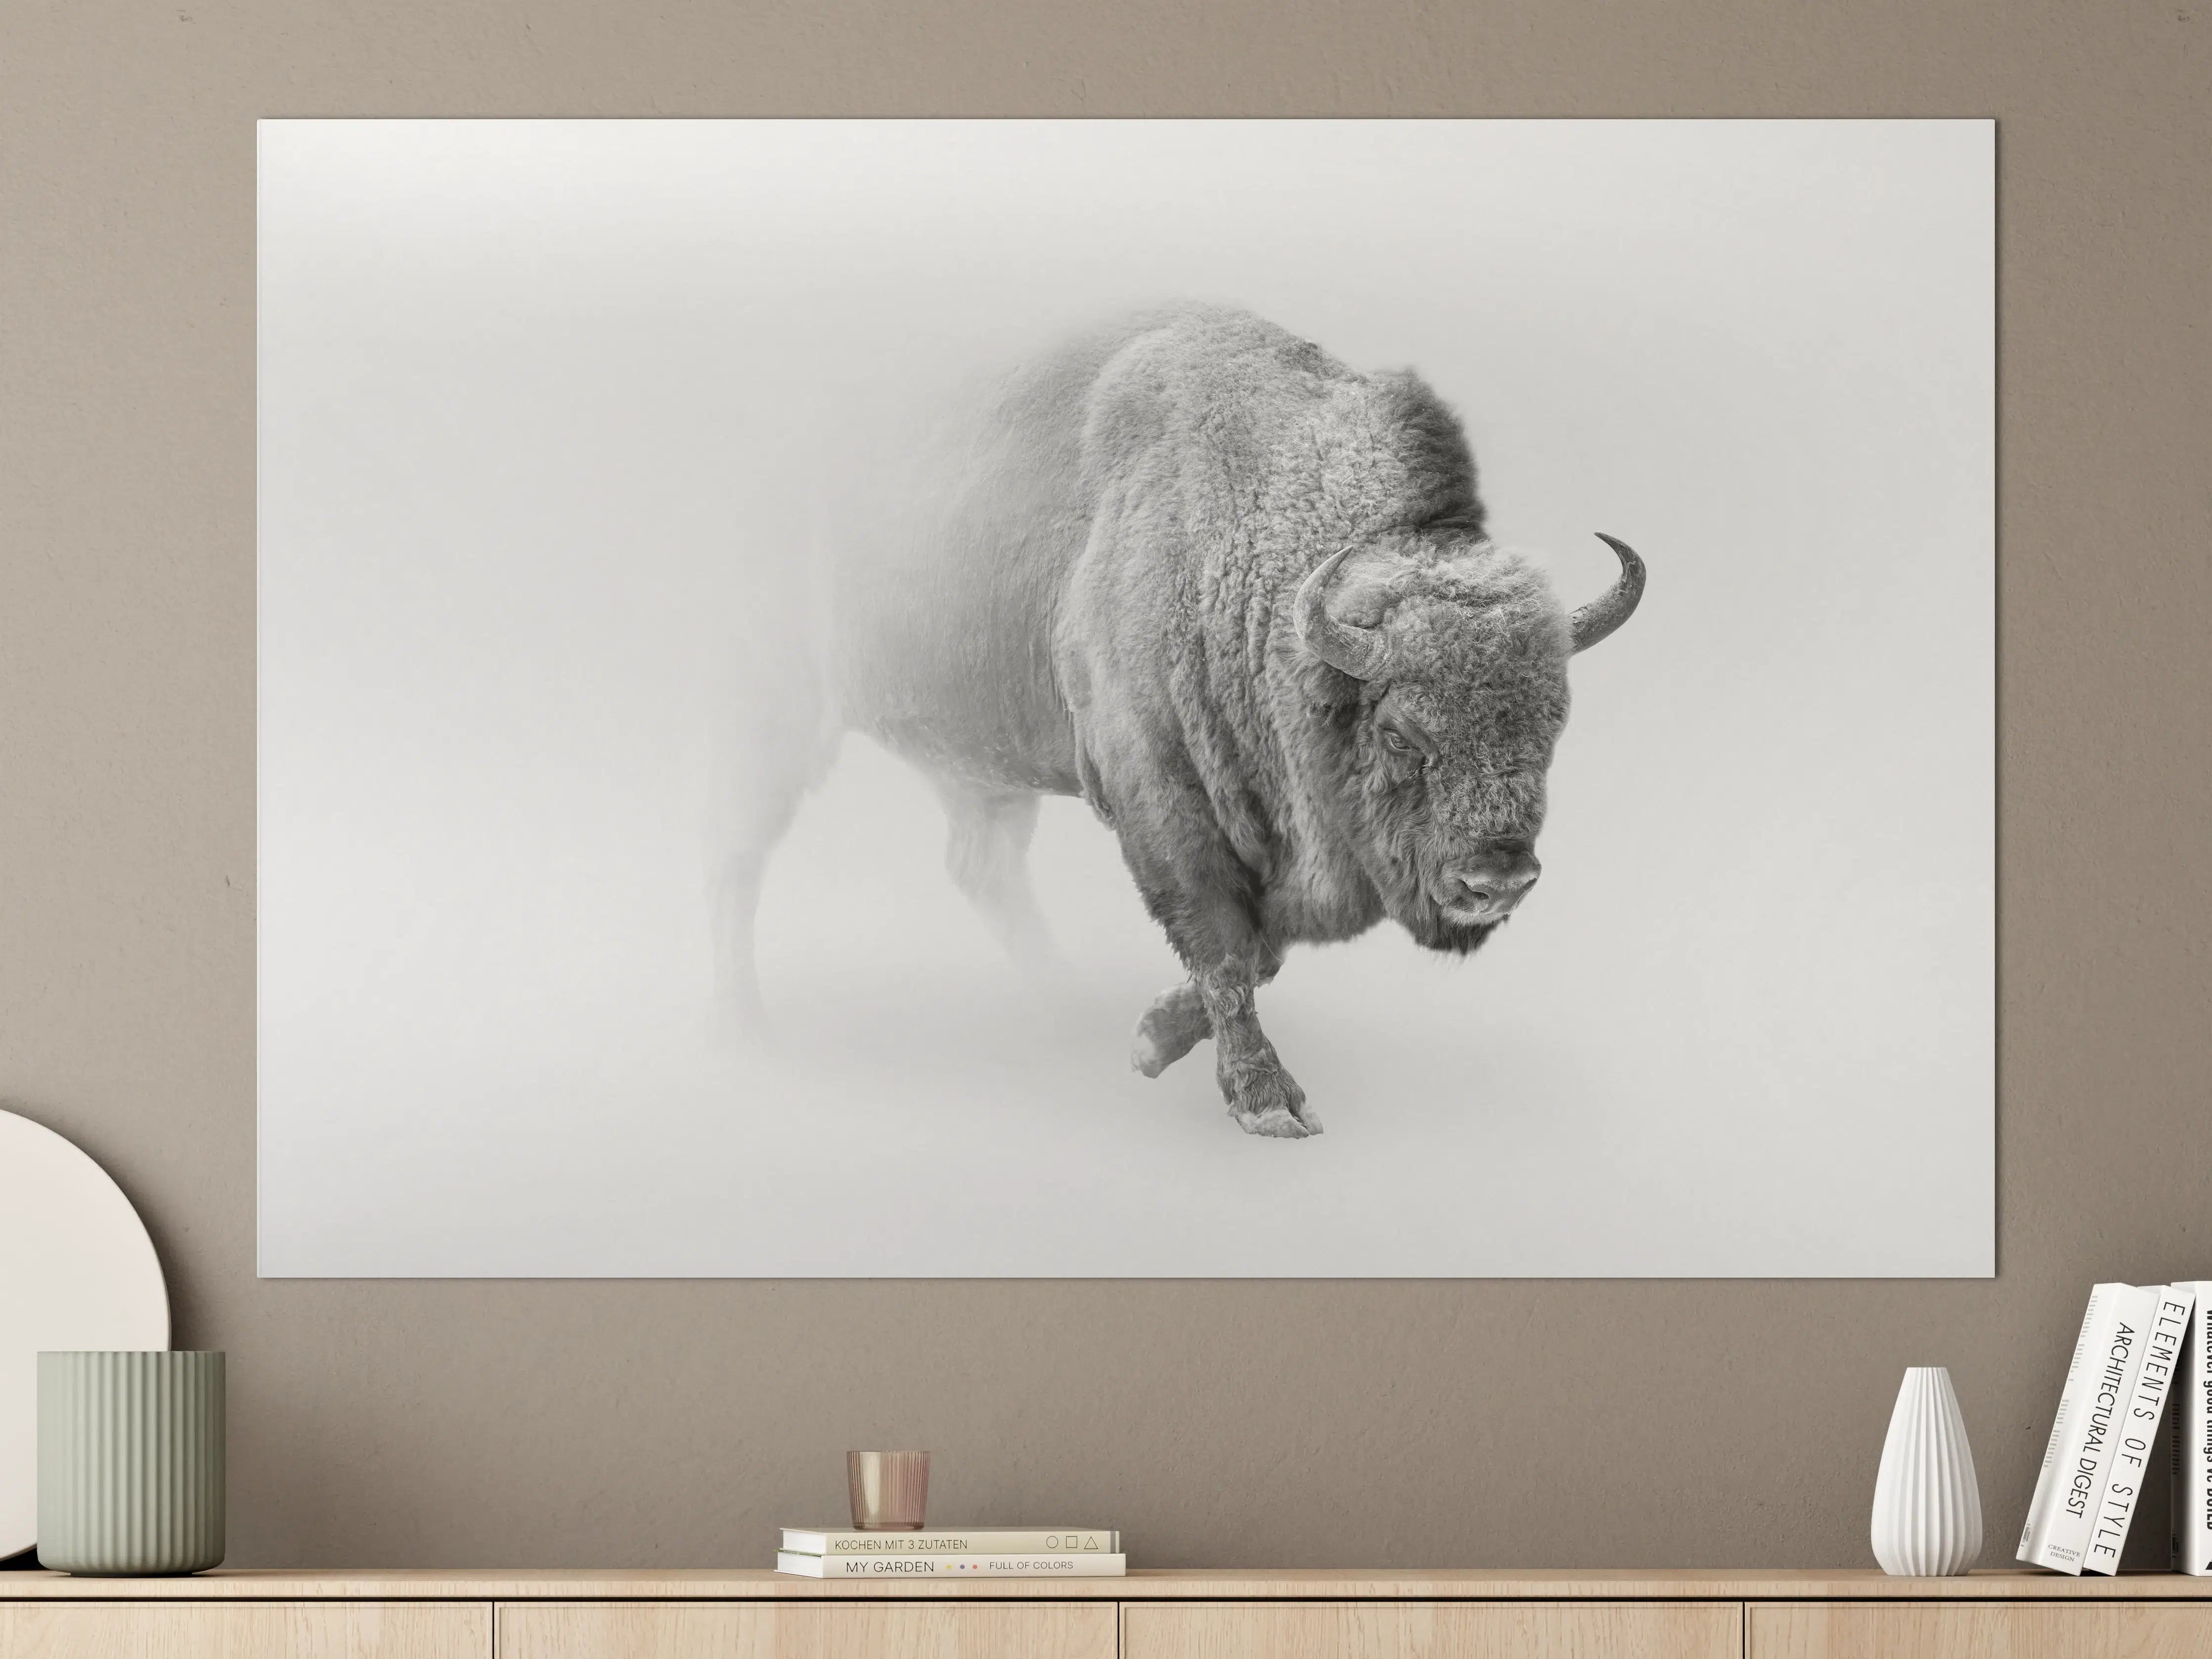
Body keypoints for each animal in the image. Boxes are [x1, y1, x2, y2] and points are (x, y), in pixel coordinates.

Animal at [716, 303, 1644, 1138]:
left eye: (1552, 724)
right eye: (1399, 732)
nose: (1498, 880)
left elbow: (1262, 948)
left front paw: (1148, 1039)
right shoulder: (1159, 797)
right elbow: (1228, 945)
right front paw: (1266, 1101)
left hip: (975, 764)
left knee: (979, 867)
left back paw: (1065, 1010)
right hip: (777, 708)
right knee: (738, 852)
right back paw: (744, 1030)